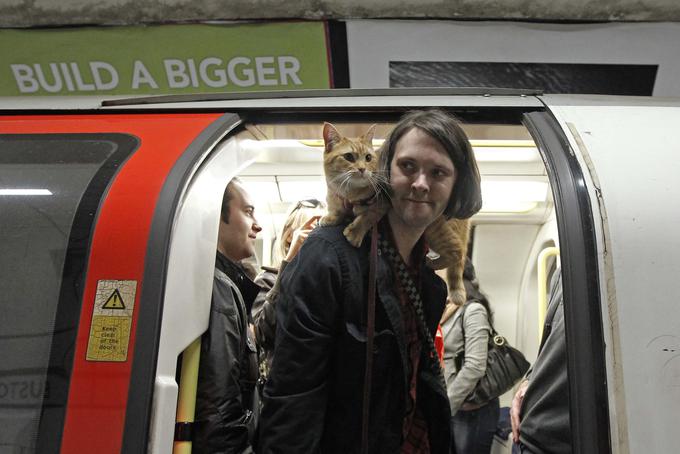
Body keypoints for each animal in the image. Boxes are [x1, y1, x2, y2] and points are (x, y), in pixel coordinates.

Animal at [320, 122, 470, 304]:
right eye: (349, 157)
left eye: (368, 158)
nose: (362, 169)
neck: (349, 194)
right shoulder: (335, 196)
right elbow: (335, 208)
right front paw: (330, 217)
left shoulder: (382, 204)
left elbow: (367, 217)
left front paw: (355, 231)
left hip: (435, 229)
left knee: (457, 250)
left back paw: (433, 263)